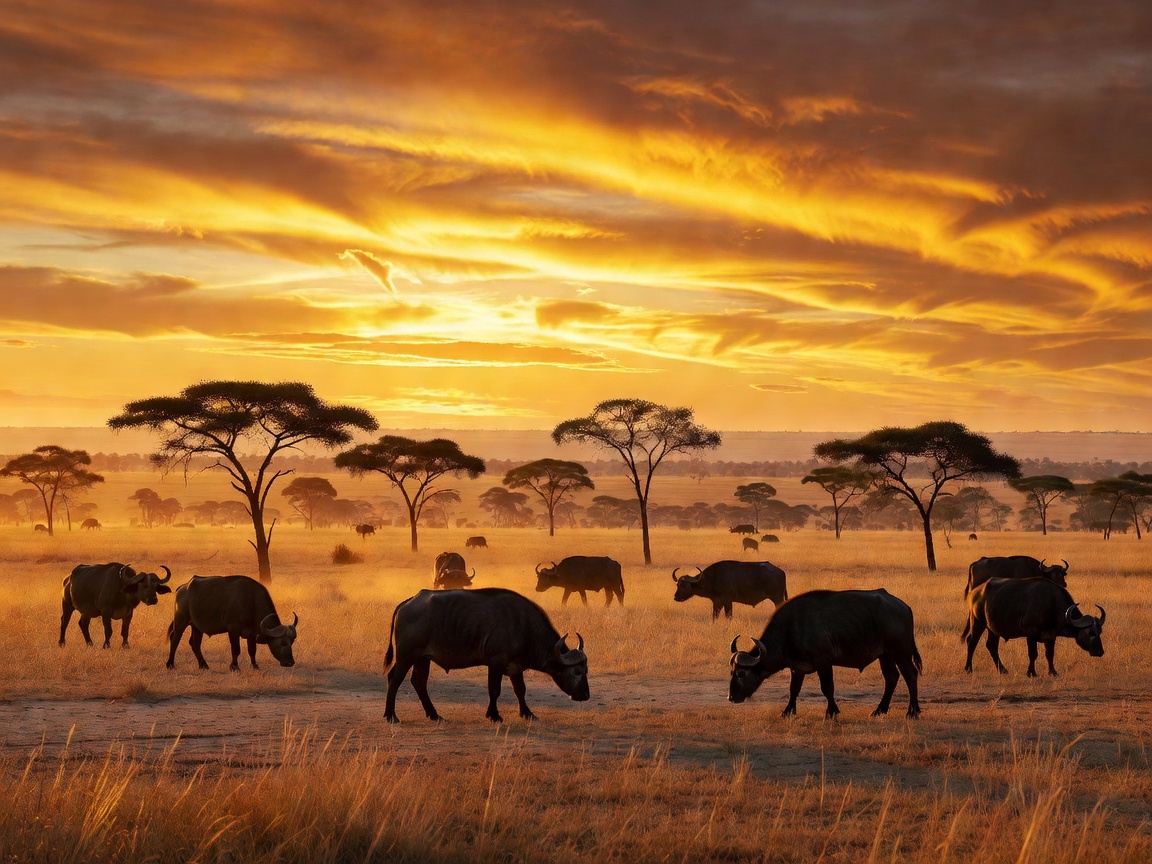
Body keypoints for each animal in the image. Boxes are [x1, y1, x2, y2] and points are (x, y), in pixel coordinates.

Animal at [166, 575, 299, 671]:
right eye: (283, 643)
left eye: (292, 642)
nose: (290, 663)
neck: (252, 602)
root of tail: (182, 588)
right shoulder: (233, 629)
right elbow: (236, 649)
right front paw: (234, 667)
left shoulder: (252, 633)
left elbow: (252, 650)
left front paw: (255, 666)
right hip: (181, 621)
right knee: (175, 639)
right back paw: (170, 664)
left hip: (197, 627)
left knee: (195, 644)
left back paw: (204, 665)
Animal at [384, 587, 589, 723]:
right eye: (577, 672)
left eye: (586, 670)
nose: (586, 695)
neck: (524, 626)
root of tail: (409, 602)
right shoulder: (496, 662)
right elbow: (494, 690)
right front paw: (494, 715)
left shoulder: (515, 666)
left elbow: (520, 689)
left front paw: (527, 713)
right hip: (406, 656)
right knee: (395, 679)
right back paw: (391, 715)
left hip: (422, 659)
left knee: (419, 682)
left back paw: (434, 715)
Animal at [730, 589, 922, 718]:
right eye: (731, 672)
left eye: (741, 674)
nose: (731, 697)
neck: (792, 627)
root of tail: (904, 607)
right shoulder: (797, 668)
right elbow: (794, 689)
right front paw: (788, 711)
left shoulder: (824, 662)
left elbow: (827, 688)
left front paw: (832, 711)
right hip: (885, 655)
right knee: (891, 677)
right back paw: (879, 710)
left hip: (901, 652)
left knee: (911, 676)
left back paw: (912, 711)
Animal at [964, 577, 1104, 677]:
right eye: (1091, 633)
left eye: (1100, 632)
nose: (1100, 652)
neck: (1052, 605)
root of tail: (975, 592)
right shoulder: (1031, 634)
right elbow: (1033, 654)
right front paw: (1031, 672)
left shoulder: (1051, 636)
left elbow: (1049, 654)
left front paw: (1053, 672)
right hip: (977, 622)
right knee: (971, 642)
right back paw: (968, 669)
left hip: (993, 629)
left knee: (991, 646)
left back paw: (1003, 670)